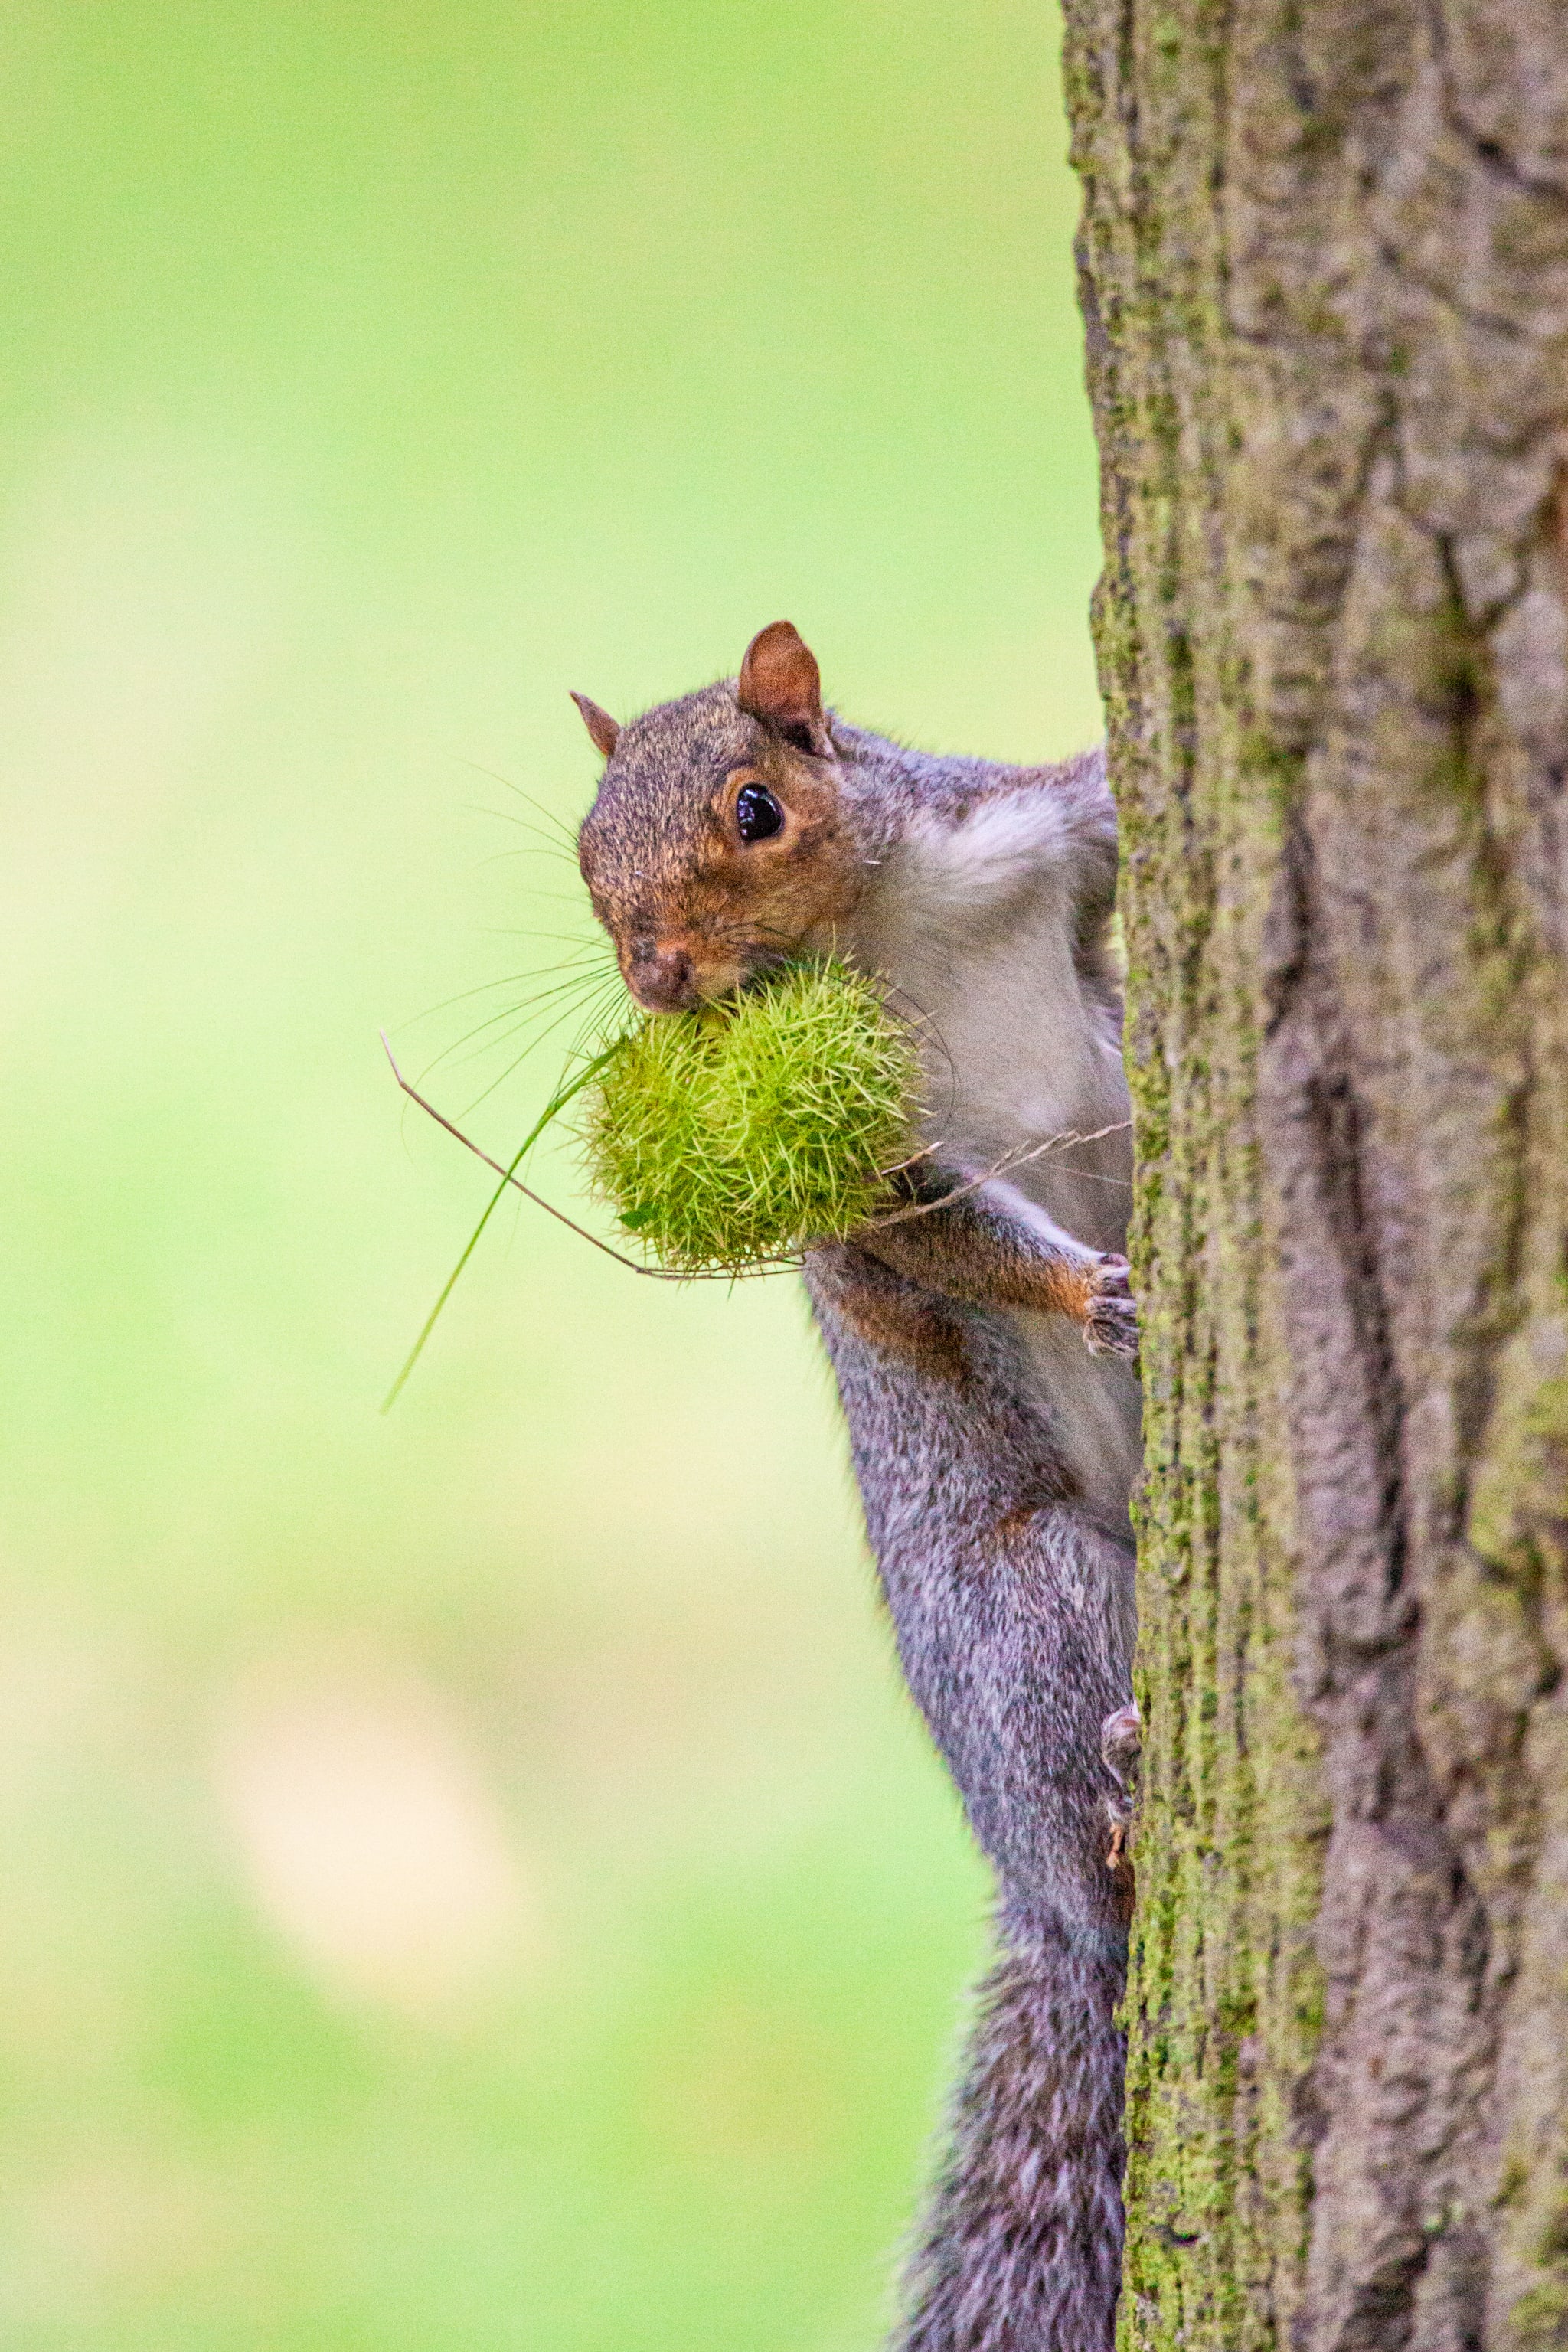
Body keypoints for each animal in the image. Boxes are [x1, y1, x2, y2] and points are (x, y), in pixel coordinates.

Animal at [576, 616, 1142, 2342]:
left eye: (754, 808)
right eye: (583, 854)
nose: (659, 978)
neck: (882, 922)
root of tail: (1034, 1891)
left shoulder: (1031, 837)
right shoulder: (864, 1145)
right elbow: (939, 1234)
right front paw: (1088, 1291)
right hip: (1030, 1593)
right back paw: (1118, 1796)